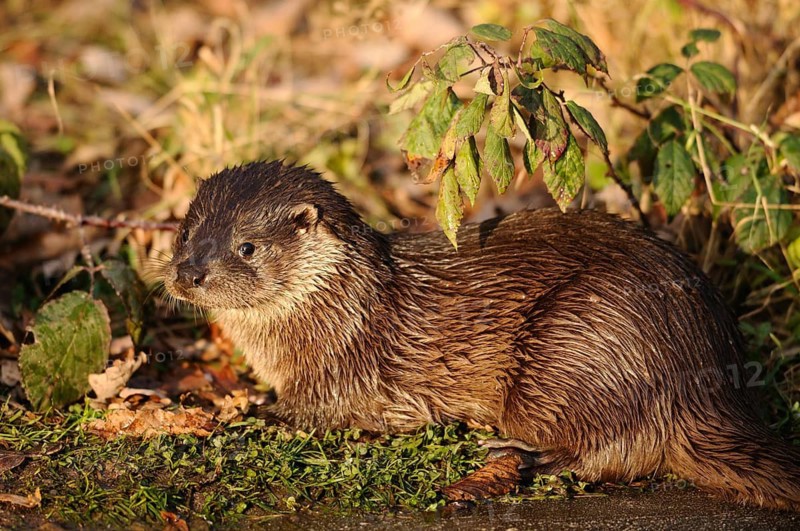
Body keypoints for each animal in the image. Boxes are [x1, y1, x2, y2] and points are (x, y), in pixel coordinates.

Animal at [164, 160, 800, 511]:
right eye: (187, 233)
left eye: (247, 246)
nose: (190, 273)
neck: (342, 306)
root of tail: (703, 376)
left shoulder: (349, 370)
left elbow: (313, 412)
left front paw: (237, 412)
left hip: (577, 340)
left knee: (620, 451)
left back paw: (518, 455)